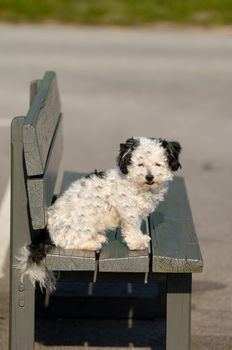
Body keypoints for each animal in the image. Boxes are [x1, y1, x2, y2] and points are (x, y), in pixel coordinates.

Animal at [16, 137, 183, 290]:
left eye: (158, 164)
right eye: (140, 164)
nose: (149, 177)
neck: (137, 184)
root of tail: (48, 231)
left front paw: (140, 238)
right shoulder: (129, 211)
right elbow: (132, 228)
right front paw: (137, 243)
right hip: (83, 226)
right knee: (68, 242)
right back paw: (94, 242)